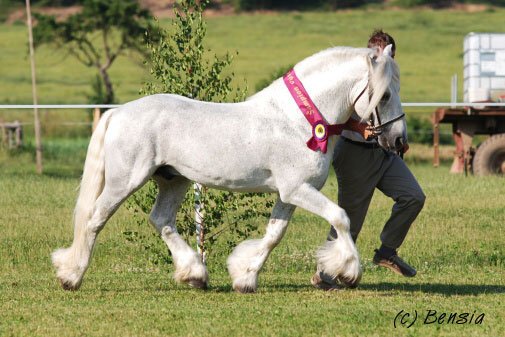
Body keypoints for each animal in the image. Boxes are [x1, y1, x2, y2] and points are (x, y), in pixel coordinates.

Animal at [52, 46, 406, 292]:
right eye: (385, 94)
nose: (399, 140)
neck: (298, 120)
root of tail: (117, 113)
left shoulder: (288, 194)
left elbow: (273, 235)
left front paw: (244, 277)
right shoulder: (297, 189)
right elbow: (341, 217)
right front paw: (348, 271)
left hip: (174, 180)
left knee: (161, 220)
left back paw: (194, 274)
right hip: (124, 181)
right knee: (94, 219)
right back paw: (71, 276)